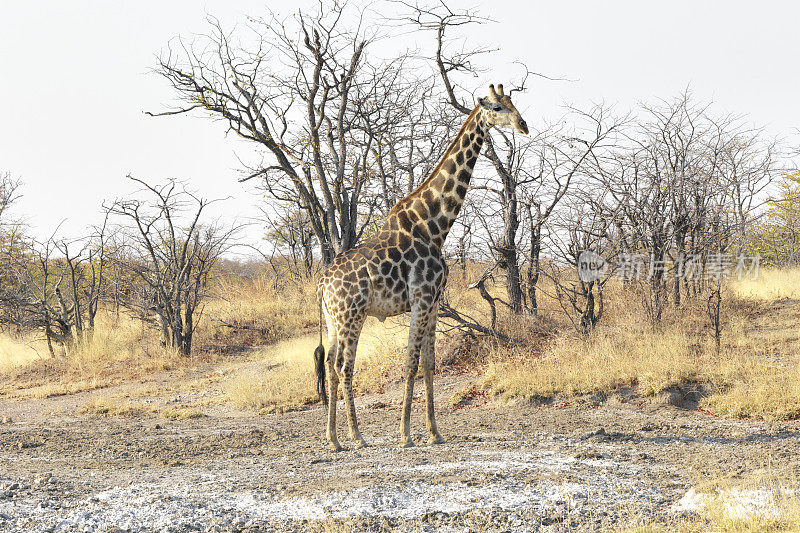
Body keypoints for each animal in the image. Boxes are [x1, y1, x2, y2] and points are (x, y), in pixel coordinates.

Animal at [316, 83, 528, 448]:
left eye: (513, 103)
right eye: (498, 107)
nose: (523, 125)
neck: (434, 226)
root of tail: (322, 284)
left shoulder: (434, 302)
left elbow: (429, 363)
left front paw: (434, 432)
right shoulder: (421, 298)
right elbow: (411, 364)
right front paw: (405, 435)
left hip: (333, 318)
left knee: (330, 363)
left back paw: (334, 438)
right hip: (351, 315)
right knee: (344, 365)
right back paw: (357, 435)